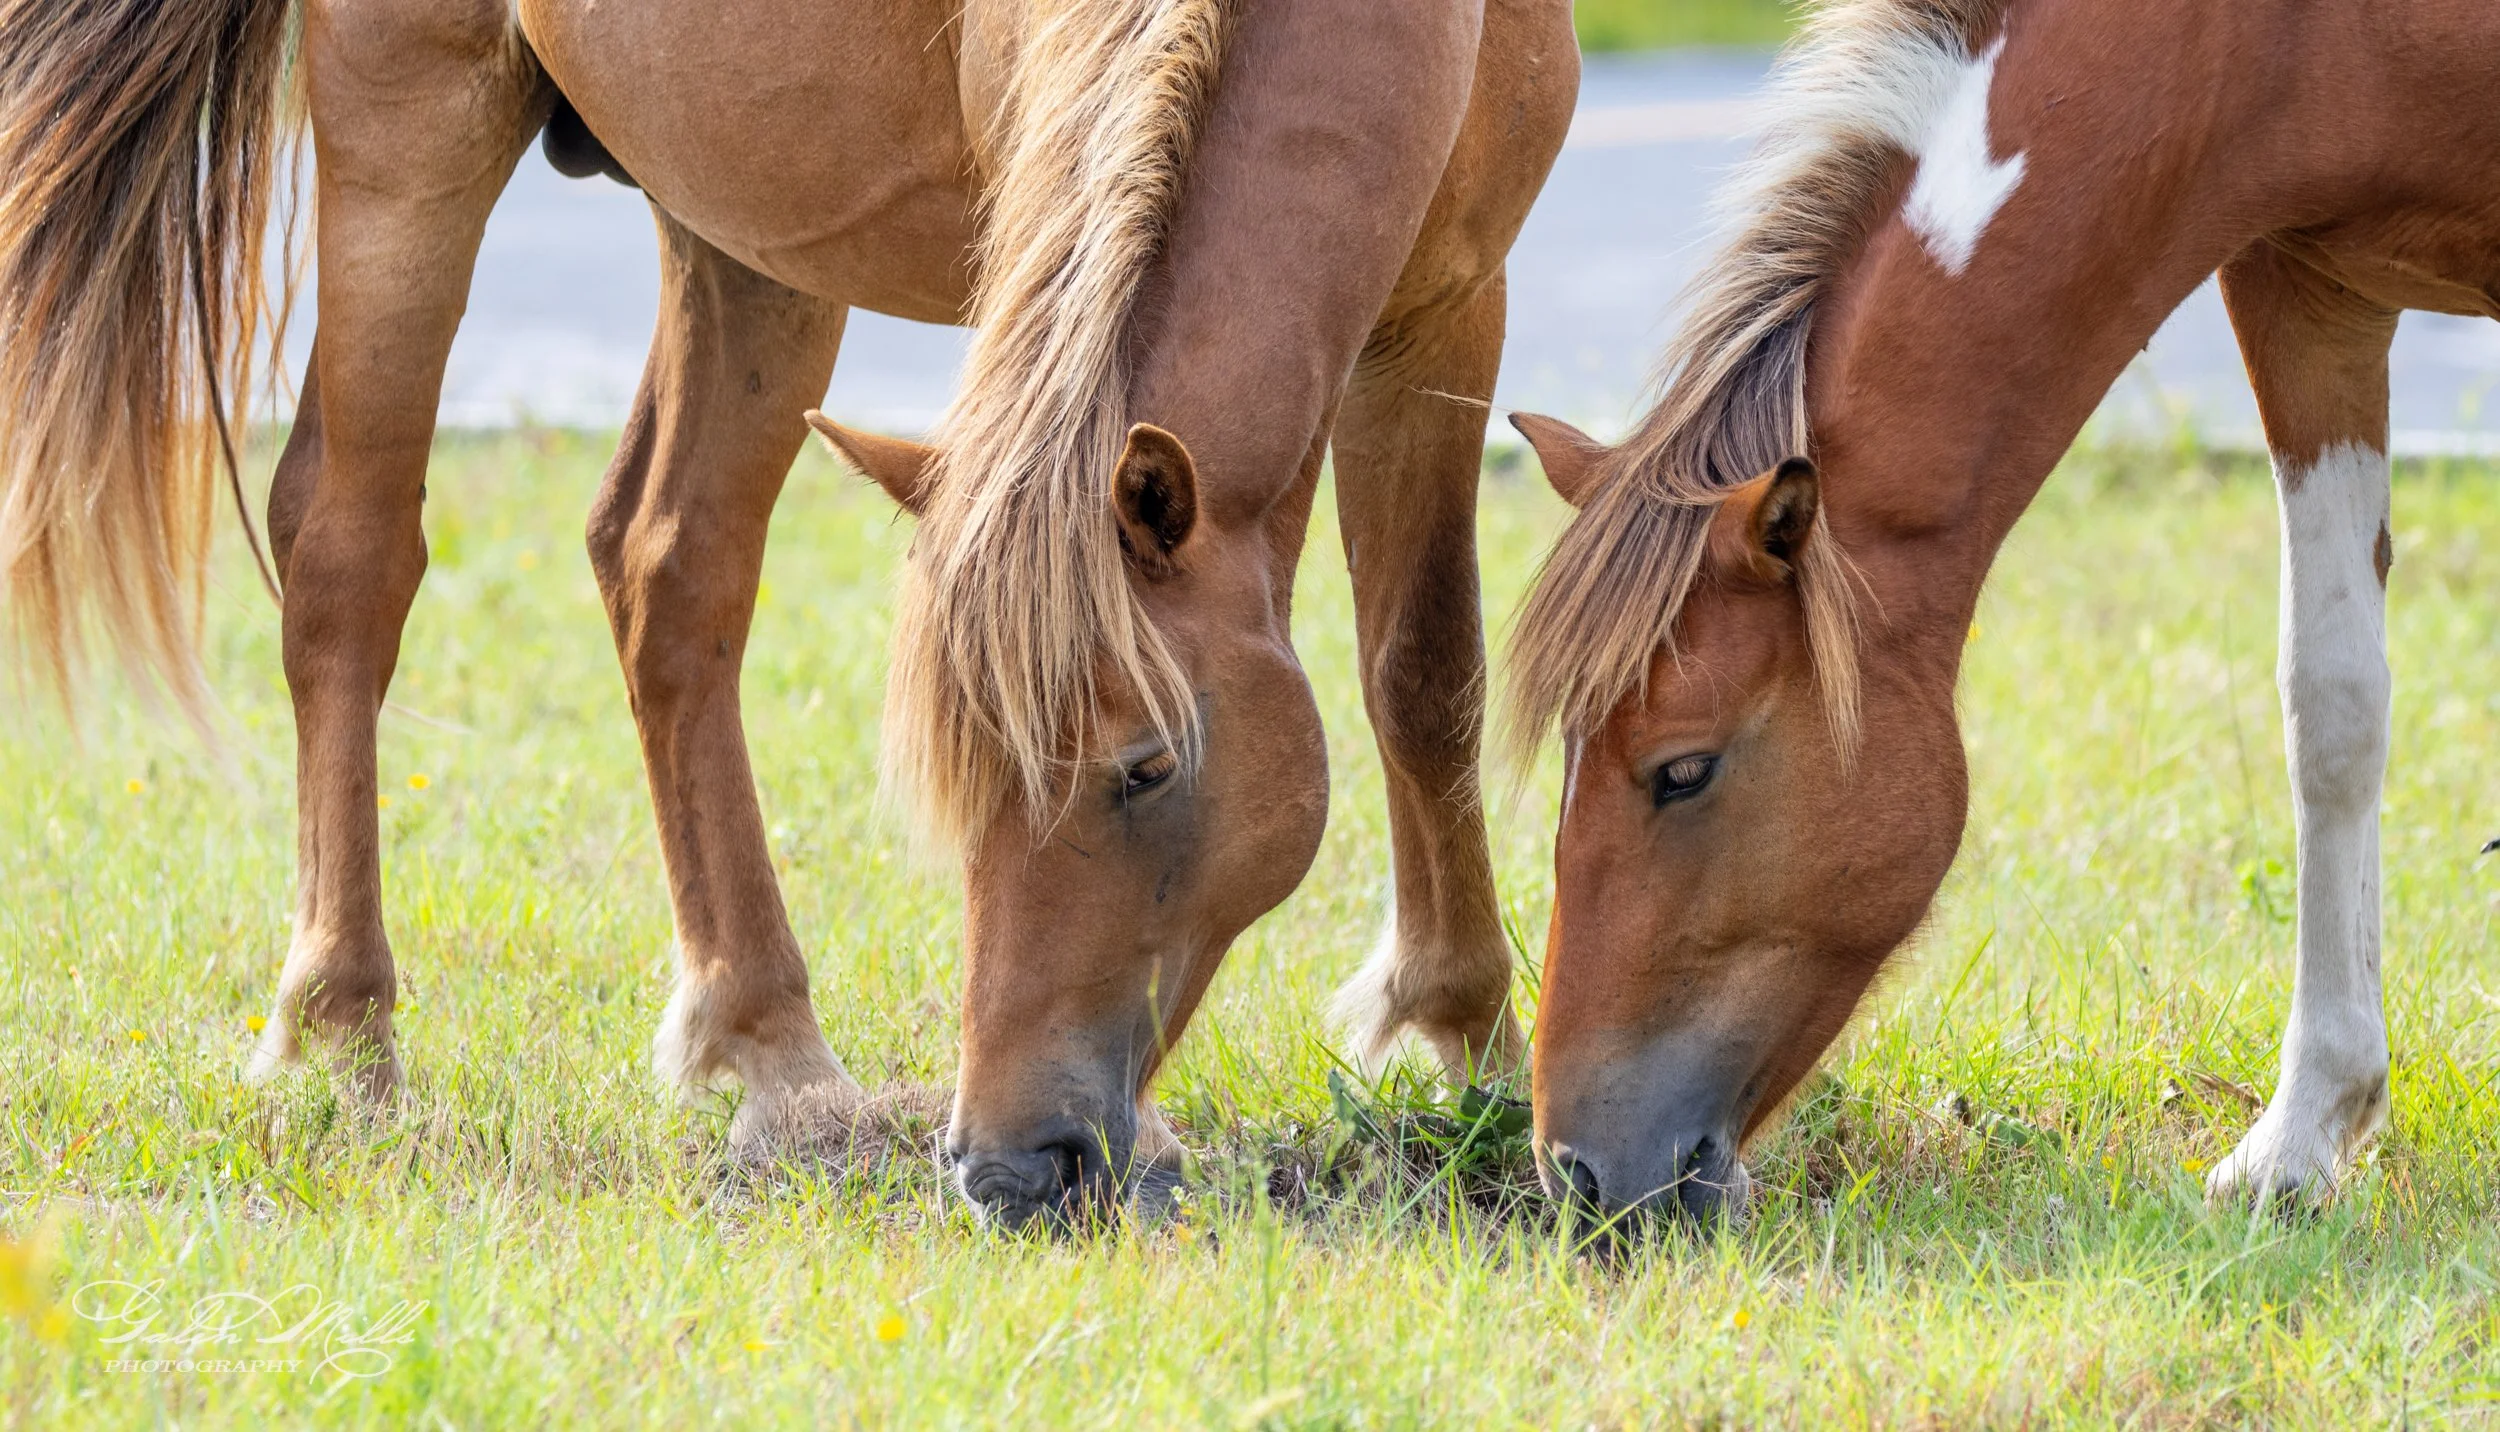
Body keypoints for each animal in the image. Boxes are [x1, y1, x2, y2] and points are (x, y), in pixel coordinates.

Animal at [0, 0, 1576, 1230]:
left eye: (1149, 767)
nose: (1007, 1170)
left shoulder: (1451, 310)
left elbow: (1424, 667)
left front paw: (1471, 1041)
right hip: (412, 123)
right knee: (347, 553)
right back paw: (338, 1026)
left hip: (740, 231)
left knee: (666, 564)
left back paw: (770, 1048)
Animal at [1501, 0, 2495, 1223]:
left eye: (1682, 771)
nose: (1575, 1171)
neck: (2272, 42)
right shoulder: (2305, 297)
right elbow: (2334, 707)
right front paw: (2301, 1137)